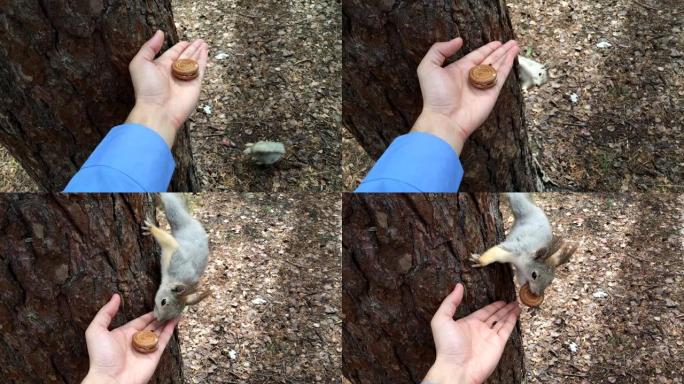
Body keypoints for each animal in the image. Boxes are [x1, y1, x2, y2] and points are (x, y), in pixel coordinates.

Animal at [142, 192, 211, 320]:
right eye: (163, 302)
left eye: (171, 316)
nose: (157, 318)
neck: (176, 279)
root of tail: (191, 220)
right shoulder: (173, 253)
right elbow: (167, 240)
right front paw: (151, 229)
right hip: (175, 217)